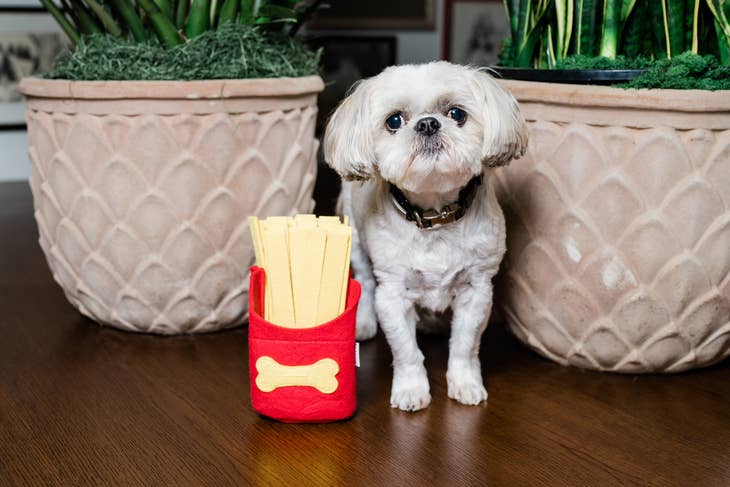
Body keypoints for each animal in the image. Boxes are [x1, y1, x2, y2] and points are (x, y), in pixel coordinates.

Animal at [322, 61, 524, 412]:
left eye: (456, 113)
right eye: (394, 121)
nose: (428, 124)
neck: (434, 216)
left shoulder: (477, 291)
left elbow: (464, 346)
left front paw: (465, 383)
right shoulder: (392, 296)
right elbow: (406, 351)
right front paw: (411, 389)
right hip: (358, 246)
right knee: (365, 280)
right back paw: (365, 322)